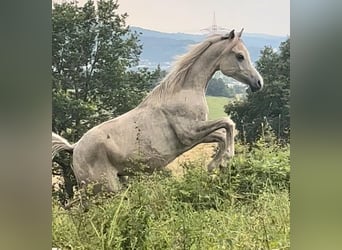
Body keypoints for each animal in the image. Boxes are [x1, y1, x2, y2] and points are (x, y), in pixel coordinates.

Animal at [52, 29, 264, 193]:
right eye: (239, 56)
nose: (258, 83)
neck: (183, 91)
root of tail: (74, 147)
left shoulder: (196, 136)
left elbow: (221, 134)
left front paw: (215, 165)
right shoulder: (190, 132)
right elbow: (228, 123)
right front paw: (223, 161)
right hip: (104, 189)